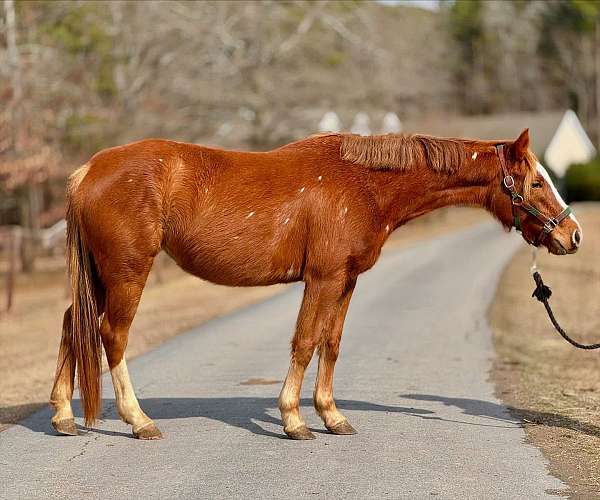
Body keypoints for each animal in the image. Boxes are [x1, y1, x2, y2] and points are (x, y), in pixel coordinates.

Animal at [51, 127, 580, 440]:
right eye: (535, 182)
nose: (572, 235)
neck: (363, 183)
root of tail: (89, 171)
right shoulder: (322, 278)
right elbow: (305, 342)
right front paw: (293, 419)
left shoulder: (345, 281)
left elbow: (331, 343)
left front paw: (332, 415)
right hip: (127, 273)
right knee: (111, 335)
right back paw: (138, 421)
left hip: (99, 277)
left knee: (72, 325)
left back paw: (62, 415)